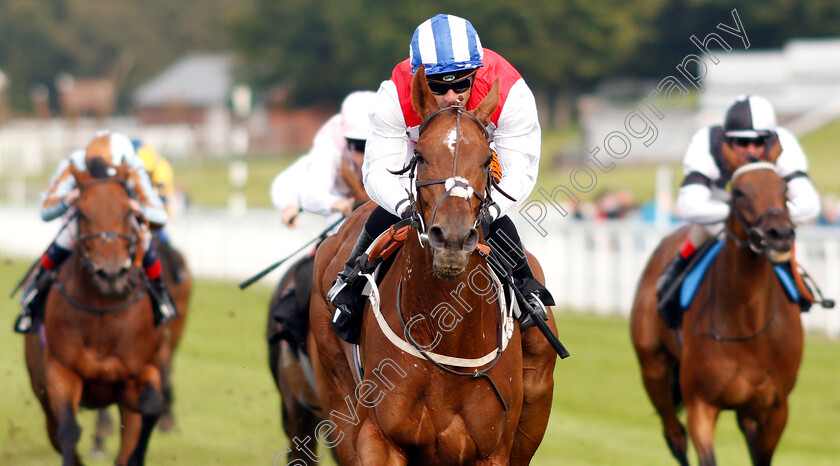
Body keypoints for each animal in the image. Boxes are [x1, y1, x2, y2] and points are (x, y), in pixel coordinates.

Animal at [25, 161, 167, 466]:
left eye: (127, 211)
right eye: (83, 213)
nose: (111, 272)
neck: (103, 312)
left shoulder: (140, 372)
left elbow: (152, 407)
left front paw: (135, 456)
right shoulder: (60, 373)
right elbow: (68, 430)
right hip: (41, 393)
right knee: (56, 430)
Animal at [632, 143, 804, 466]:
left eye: (784, 188)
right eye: (739, 192)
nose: (779, 234)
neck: (748, 325)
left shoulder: (777, 409)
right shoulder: (701, 403)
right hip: (653, 368)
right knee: (675, 436)